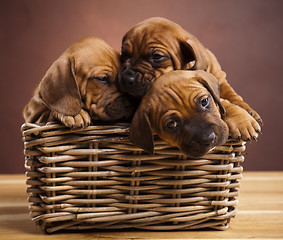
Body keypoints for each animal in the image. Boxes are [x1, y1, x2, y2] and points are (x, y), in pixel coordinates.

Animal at [116, 16, 262, 134]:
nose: (127, 78)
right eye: (124, 54)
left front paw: (246, 112)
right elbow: (222, 102)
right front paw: (242, 120)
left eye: (157, 57)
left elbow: (231, 94)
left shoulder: (219, 78)